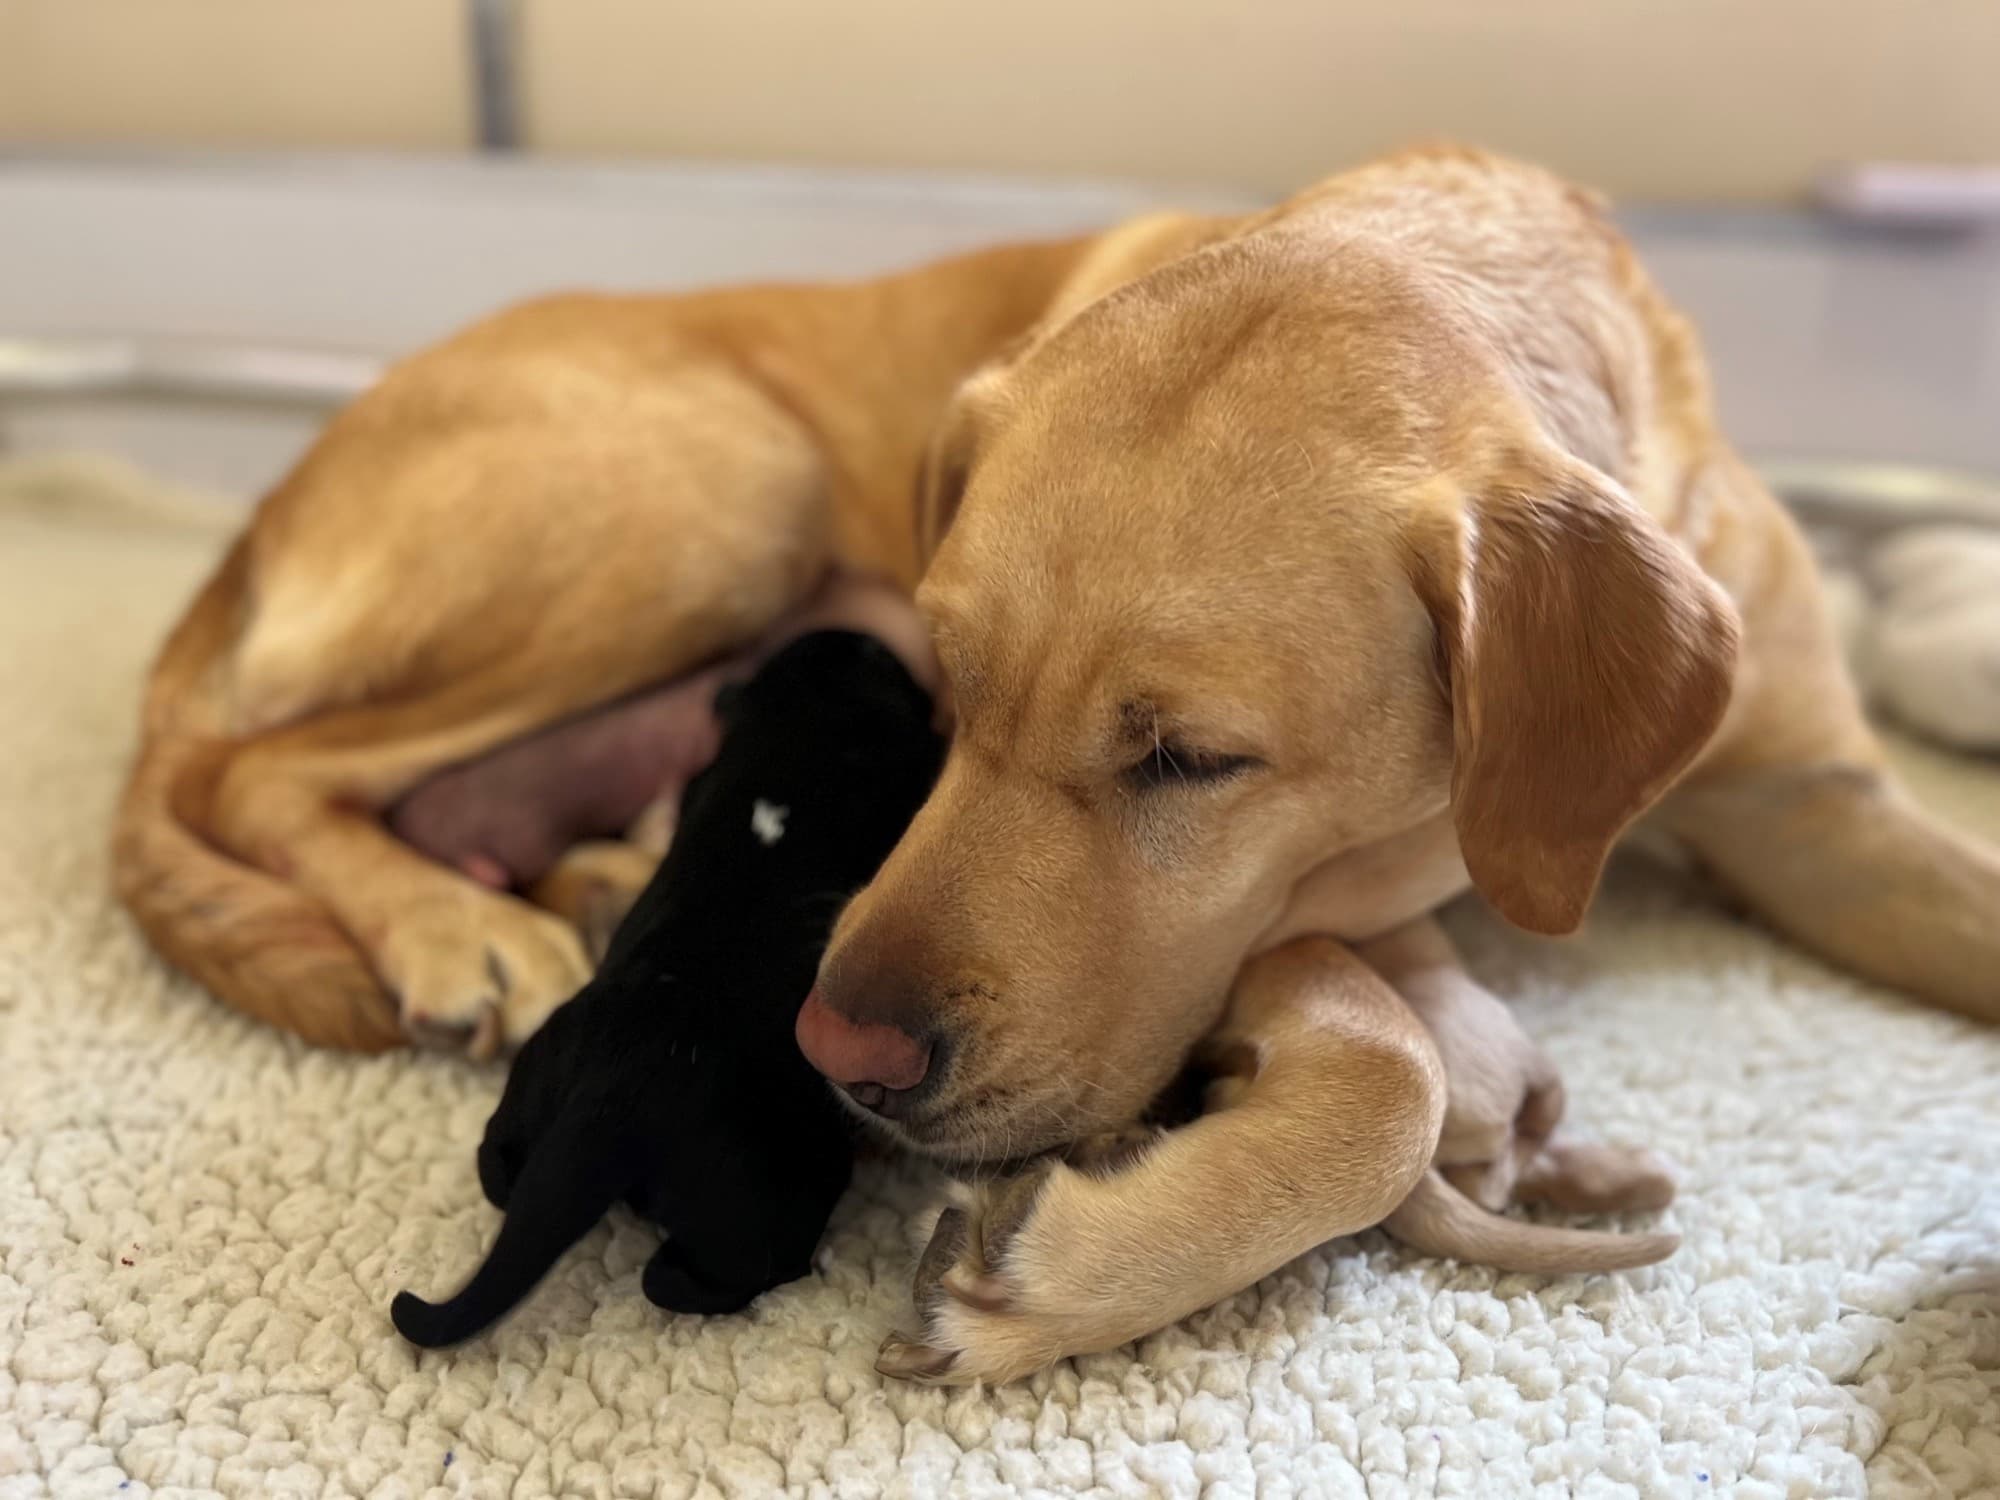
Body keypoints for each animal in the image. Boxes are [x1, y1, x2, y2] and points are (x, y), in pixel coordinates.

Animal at [400, 628, 952, 1344]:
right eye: (885, 661)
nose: (860, 632)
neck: (802, 726)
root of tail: (609, 1103)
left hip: (533, 1080)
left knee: (498, 1169)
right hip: (773, 1184)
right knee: (704, 1273)